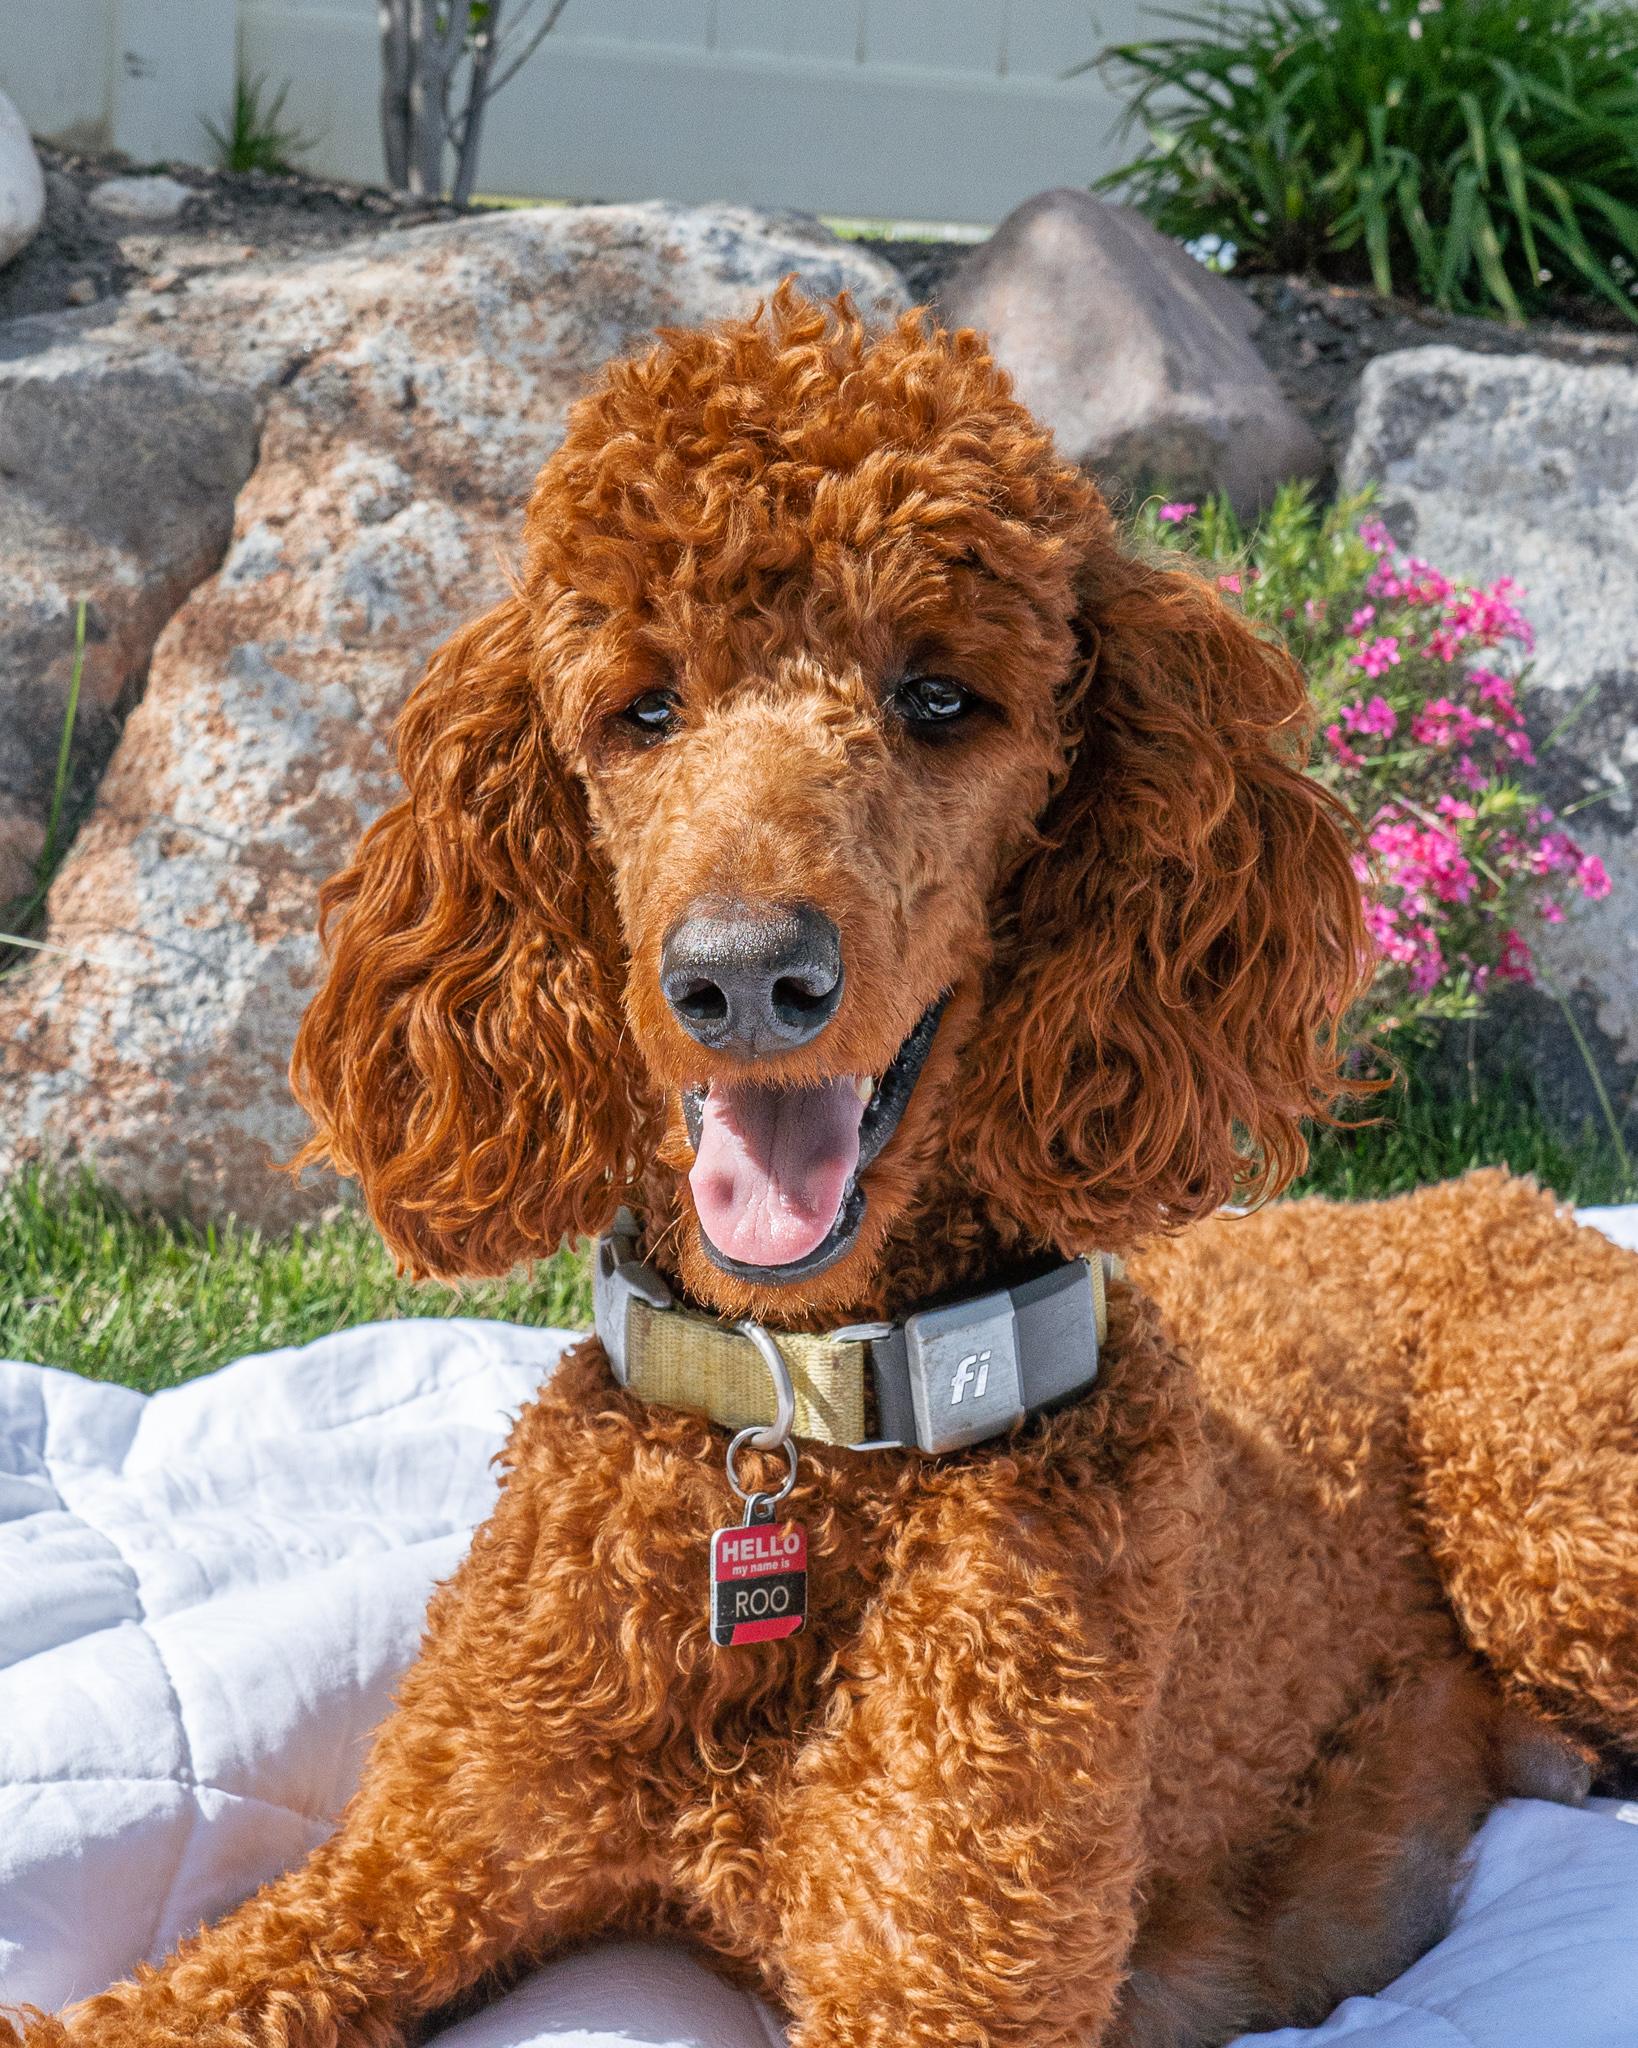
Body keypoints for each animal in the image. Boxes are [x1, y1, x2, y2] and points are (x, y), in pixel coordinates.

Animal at [8, 288, 1635, 2048]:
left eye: (937, 698)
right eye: (643, 707)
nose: (739, 978)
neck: (804, 1421)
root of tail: (1487, 1196)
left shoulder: (942, 1965)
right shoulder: (410, 1865)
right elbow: (181, 1995)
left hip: (1537, 1505)